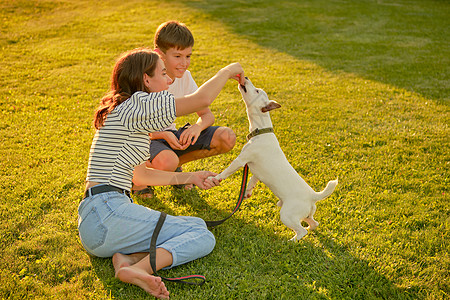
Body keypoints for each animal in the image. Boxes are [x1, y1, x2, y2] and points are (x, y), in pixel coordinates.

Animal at [214, 78, 338, 241]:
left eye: (257, 91)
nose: (245, 77)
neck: (261, 130)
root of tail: (313, 196)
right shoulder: (254, 168)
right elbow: (252, 180)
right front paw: (247, 192)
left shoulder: (241, 160)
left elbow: (227, 171)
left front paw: (215, 178)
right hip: (304, 214)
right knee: (314, 223)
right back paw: (309, 229)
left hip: (286, 215)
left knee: (301, 231)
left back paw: (291, 241)